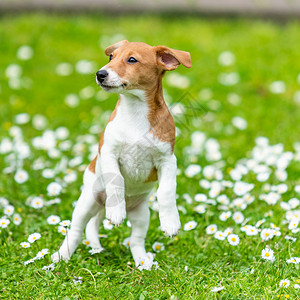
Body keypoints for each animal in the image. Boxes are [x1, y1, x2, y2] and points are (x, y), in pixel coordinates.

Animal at [51, 40, 192, 268]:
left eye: (132, 59)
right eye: (111, 57)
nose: (100, 74)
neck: (135, 112)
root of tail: (101, 206)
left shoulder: (168, 160)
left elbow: (167, 191)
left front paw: (171, 223)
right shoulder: (109, 153)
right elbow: (116, 180)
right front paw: (116, 212)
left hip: (141, 214)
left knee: (135, 240)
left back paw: (143, 262)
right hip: (87, 203)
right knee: (76, 230)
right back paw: (61, 256)